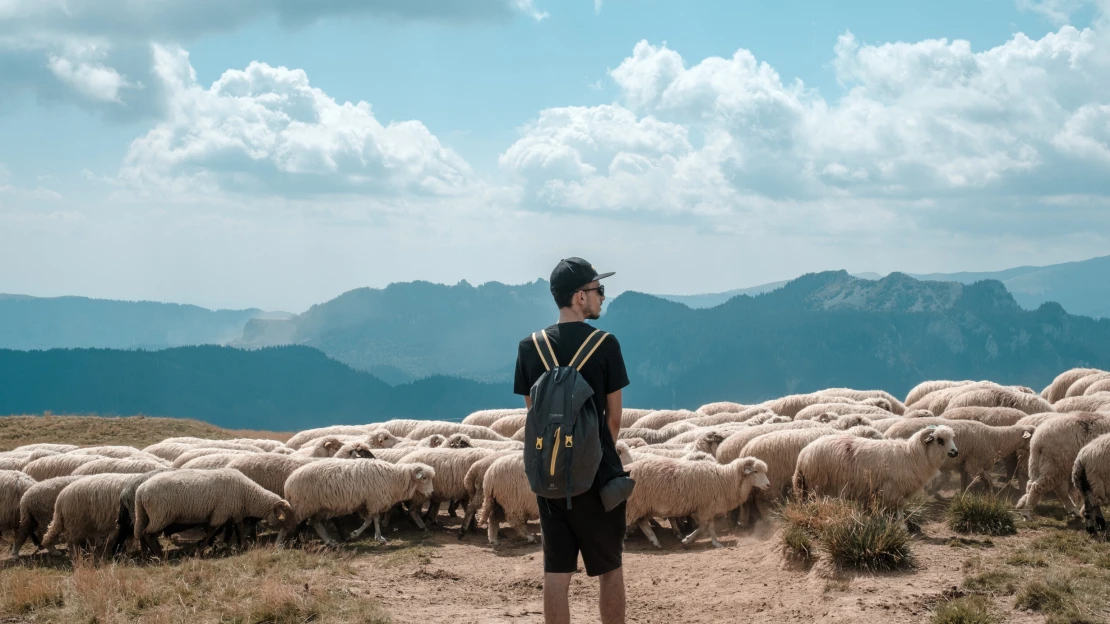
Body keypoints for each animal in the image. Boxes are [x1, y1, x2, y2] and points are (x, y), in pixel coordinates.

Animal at [284, 457, 435, 544]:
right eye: (424, 478)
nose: (432, 493)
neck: (394, 478)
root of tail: (288, 482)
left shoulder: (368, 502)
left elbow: (370, 520)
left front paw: (364, 536)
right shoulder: (375, 500)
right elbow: (373, 520)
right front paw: (375, 537)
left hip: (318, 507)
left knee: (316, 523)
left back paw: (329, 541)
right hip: (304, 505)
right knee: (294, 523)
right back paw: (285, 543)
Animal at [626, 455, 772, 546]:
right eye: (755, 472)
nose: (768, 485)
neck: (725, 479)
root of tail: (628, 468)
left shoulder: (710, 507)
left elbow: (709, 526)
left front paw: (714, 542)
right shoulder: (705, 507)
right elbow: (704, 527)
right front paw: (688, 539)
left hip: (644, 506)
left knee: (642, 522)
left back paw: (654, 540)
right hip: (635, 504)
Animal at [794, 421, 959, 515]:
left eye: (952, 438)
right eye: (940, 440)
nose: (955, 452)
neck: (912, 455)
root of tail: (803, 455)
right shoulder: (893, 489)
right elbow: (897, 510)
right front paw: (901, 528)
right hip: (817, 486)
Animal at [879, 417, 1034, 490]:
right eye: (1033, 435)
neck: (995, 438)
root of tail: (888, 433)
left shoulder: (965, 464)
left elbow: (964, 483)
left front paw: (961, 496)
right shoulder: (975, 464)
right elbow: (988, 482)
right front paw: (989, 497)